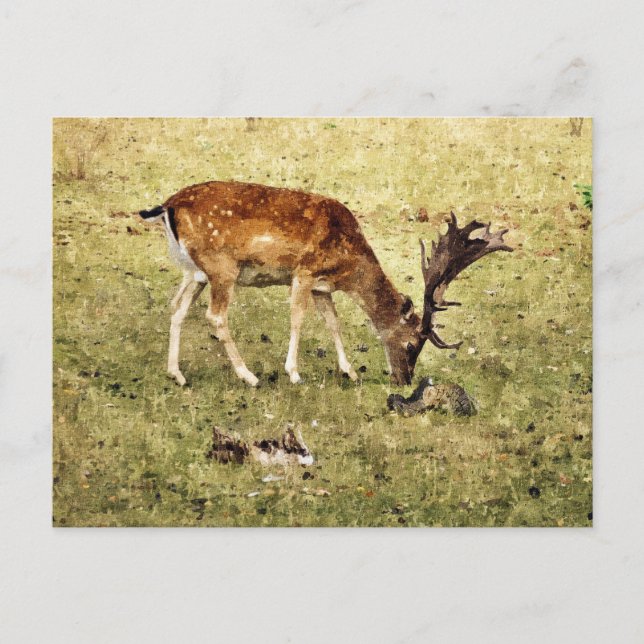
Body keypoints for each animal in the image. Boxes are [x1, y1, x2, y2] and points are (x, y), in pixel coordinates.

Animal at [138, 181, 512, 388]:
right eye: (411, 345)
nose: (404, 380)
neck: (348, 264)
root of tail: (167, 206)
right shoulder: (304, 270)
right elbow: (298, 319)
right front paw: (294, 373)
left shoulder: (322, 286)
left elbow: (333, 322)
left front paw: (350, 372)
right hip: (222, 267)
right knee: (215, 316)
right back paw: (249, 376)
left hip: (195, 272)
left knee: (177, 307)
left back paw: (177, 375)